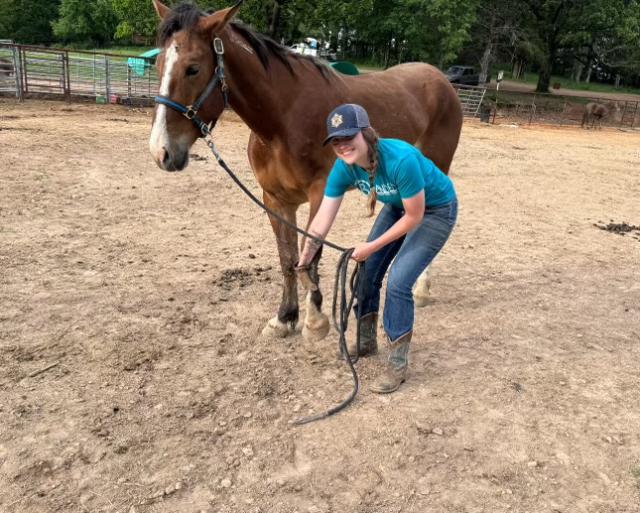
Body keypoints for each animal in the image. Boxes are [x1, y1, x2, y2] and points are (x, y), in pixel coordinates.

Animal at [148, 2, 462, 342]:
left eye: (192, 68)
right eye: (159, 65)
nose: (161, 151)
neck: (284, 120)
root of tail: (440, 79)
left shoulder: (320, 193)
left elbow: (309, 258)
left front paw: (314, 321)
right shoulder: (275, 199)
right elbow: (288, 259)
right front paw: (285, 317)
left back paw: (421, 288)